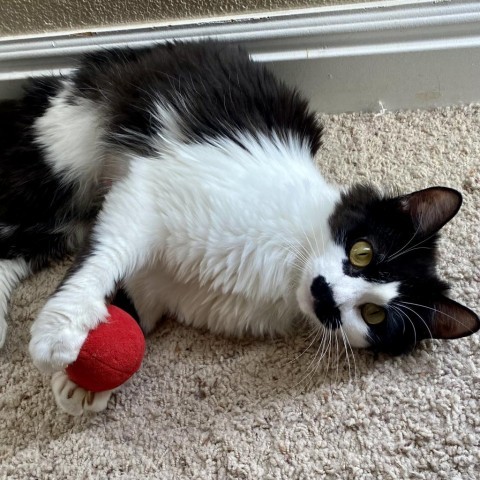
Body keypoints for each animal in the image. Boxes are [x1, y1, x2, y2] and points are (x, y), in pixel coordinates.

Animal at [0, 41, 478, 414]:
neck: (286, 266)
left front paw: (84, 378)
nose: (325, 293)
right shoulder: (149, 193)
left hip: (66, 218)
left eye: (374, 316)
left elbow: (133, 313)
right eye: (363, 252)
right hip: (65, 159)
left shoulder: (158, 288)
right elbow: (103, 259)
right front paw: (61, 332)